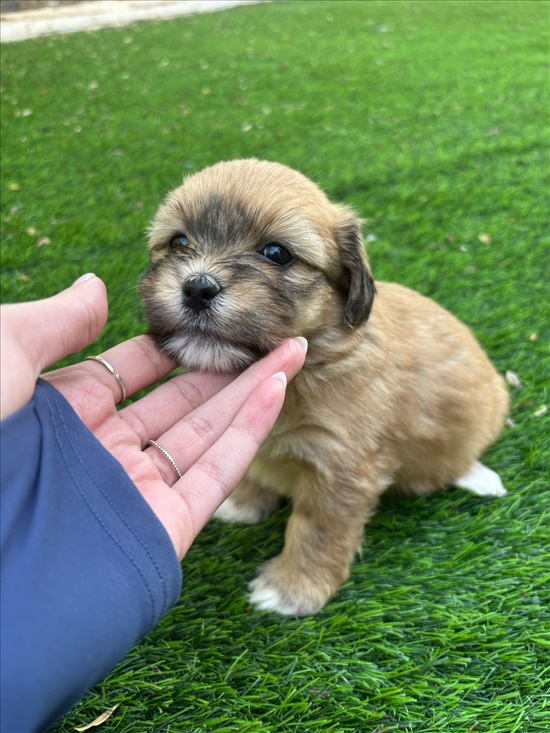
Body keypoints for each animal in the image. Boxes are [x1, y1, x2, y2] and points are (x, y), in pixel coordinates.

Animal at [140, 162, 512, 616]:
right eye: (179, 241)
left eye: (276, 253)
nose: (197, 287)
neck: (303, 370)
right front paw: (244, 503)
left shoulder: (339, 469)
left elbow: (316, 530)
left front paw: (293, 589)